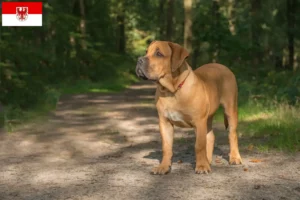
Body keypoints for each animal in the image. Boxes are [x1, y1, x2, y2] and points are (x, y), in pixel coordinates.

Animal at [135, 40, 241, 173]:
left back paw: (234, 158)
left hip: (230, 109)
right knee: (210, 136)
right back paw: (208, 160)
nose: (139, 59)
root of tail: (224, 67)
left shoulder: (199, 122)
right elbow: (166, 146)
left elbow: (199, 145)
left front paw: (201, 166)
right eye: (146, 52)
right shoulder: (164, 123)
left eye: (158, 54)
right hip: (208, 117)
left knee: (232, 134)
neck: (172, 90)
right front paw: (163, 167)